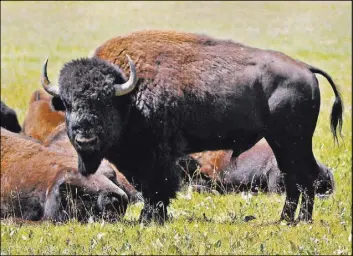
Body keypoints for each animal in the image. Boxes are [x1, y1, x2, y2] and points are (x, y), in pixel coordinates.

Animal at [41, 29, 340, 222]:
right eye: (67, 103)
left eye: (104, 101)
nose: (85, 139)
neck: (128, 95)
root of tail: (305, 69)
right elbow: (148, 188)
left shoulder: (156, 156)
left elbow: (157, 187)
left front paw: (150, 219)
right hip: (282, 143)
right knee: (295, 176)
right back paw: (286, 219)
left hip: (292, 140)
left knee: (304, 175)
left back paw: (300, 219)